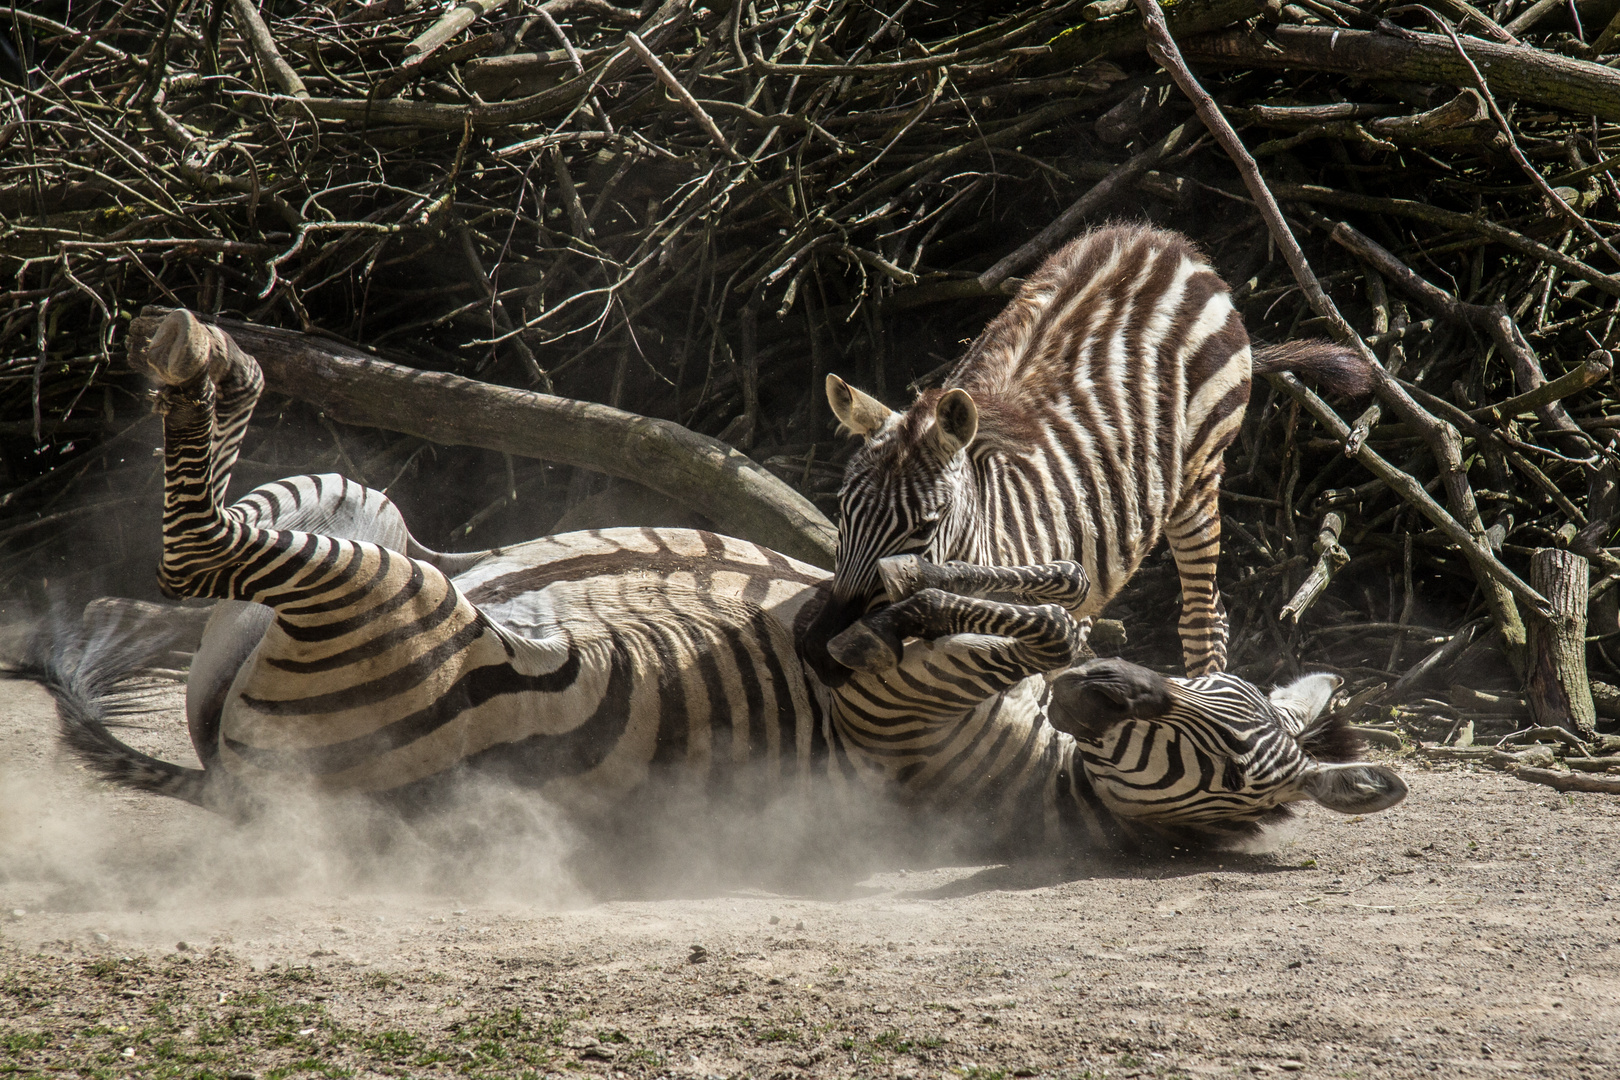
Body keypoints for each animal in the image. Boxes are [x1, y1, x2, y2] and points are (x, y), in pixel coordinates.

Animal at [9, 310, 1406, 861]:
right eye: (1205, 713)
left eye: (1215, 770)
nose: (1112, 694)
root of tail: (242, 792)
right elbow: (1009, 595)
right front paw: (999, 587)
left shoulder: (885, 719)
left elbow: (1006, 616)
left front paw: (983, 606)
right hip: (364, 513)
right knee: (197, 570)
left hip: (404, 622)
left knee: (200, 552)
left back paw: (206, 362)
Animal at [797, 223, 1367, 689]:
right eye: (843, 512)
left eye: (927, 525)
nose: (818, 653)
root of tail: (1165, 243)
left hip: (1201, 475)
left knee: (1202, 616)